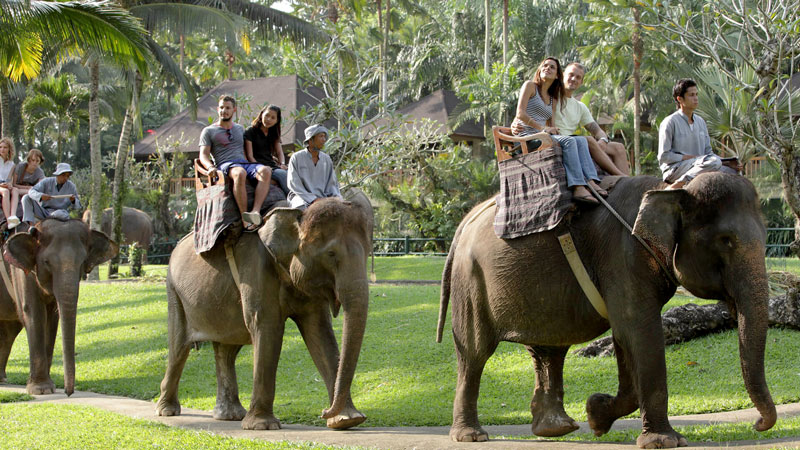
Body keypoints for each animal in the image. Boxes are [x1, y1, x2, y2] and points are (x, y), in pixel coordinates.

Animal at [0, 220, 117, 396]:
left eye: (82, 262)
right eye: (47, 262)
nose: (68, 393)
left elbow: (52, 318)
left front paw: (48, 387)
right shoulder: (20, 272)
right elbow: (34, 313)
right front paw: (40, 389)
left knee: (8, 331)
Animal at [156, 192, 376, 430]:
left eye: (368, 251)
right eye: (331, 253)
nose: (323, 412)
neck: (294, 216)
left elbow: (319, 332)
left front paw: (348, 420)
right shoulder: (256, 269)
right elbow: (267, 327)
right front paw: (262, 426)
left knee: (226, 349)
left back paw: (230, 415)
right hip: (174, 291)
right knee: (179, 346)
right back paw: (167, 411)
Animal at [438, 172, 776, 446]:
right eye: (726, 240)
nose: (758, 425)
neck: (670, 189)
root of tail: (466, 220)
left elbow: (625, 338)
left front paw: (596, 416)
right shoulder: (622, 256)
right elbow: (639, 332)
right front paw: (664, 441)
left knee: (549, 348)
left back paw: (556, 429)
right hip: (471, 281)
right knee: (474, 352)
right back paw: (472, 436)